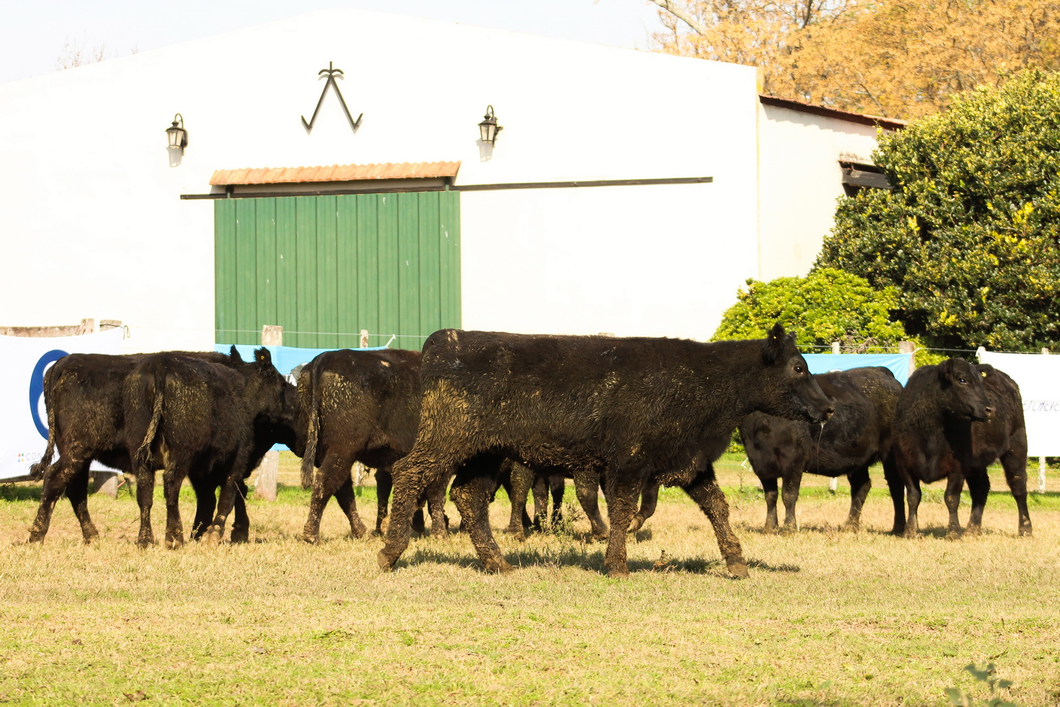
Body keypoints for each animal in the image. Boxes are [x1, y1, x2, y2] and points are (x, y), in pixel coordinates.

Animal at [124, 347, 294, 546]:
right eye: (282, 384)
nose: (292, 411)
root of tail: (160, 361)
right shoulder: (238, 458)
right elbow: (228, 495)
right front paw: (213, 533)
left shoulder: (201, 470)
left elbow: (208, 499)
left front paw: (200, 532)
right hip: (181, 452)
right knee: (171, 485)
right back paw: (174, 538)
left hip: (139, 448)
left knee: (144, 491)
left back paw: (145, 540)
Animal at [294, 347, 447, 542]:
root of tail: (324, 357)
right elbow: (436, 494)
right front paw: (440, 532)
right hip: (343, 450)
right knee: (326, 481)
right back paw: (312, 535)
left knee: (342, 488)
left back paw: (360, 531)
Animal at [377, 324, 831, 576]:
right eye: (798, 367)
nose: (828, 407)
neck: (699, 382)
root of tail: (444, 341)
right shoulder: (628, 461)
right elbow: (623, 510)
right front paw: (617, 565)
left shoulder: (691, 461)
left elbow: (717, 506)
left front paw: (736, 563)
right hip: (445, 439)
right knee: (409, 473)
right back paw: (390, 552)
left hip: (486, 451)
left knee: (468, 495)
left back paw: (497, 563)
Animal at [737, 368, 903, 534]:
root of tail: (882, 371)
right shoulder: (761, 463)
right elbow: (770, 496)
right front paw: (770, 528)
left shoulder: (793, 460)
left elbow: (788, 495)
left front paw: (789, 528)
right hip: (857, 458)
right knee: (861, 486)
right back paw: (850, 526)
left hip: (890, 454)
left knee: (896, 486)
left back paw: (897, 528)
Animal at [890, 360, 1030, 536]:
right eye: (962, 380)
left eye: (980, 381)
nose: (990, 409)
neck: (930, 435)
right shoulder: (904, 462)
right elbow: (913, 497)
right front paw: (910, 531)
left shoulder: (958, 466)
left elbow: (951, 497)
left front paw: (953, 531)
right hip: (977, 463)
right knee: (981, 488)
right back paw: (972, 529)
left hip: (1017, 445)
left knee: (1018, 486)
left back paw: (1025, 529)